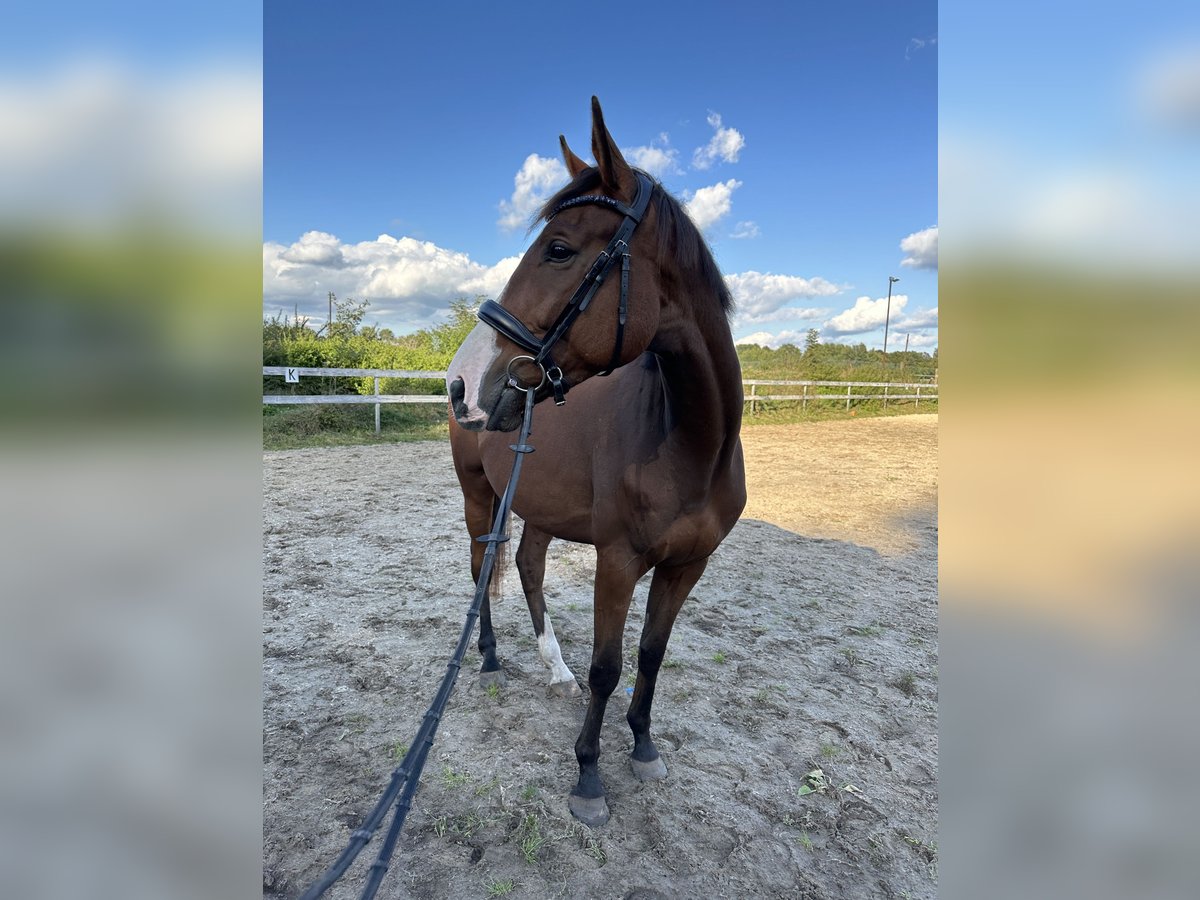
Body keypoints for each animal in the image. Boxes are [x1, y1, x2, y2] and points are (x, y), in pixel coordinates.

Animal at [446, 97, 739, 825]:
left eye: (559, 249)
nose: (460, 382)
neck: (692, 446)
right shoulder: (618, 560)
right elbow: (609, 665)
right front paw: (588, 776)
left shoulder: (687, 565)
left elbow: (651, 654)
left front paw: (643, 746)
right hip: (478, 496)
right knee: (482, 567)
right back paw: (488, 657)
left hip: (539, 505)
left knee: (526, 566)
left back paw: (555, 669)